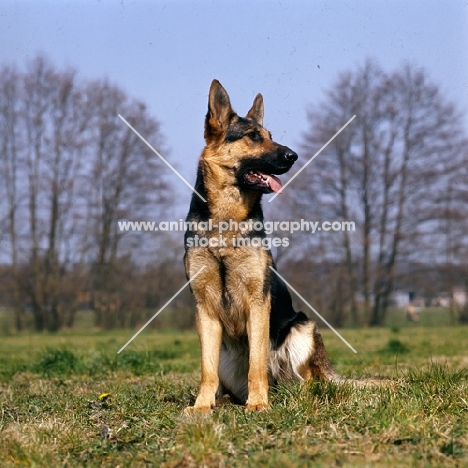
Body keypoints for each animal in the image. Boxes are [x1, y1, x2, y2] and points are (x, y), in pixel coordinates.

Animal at [183, 80, 336, 414]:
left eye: (270, 135)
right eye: (253, 137)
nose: (294, 156)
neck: (226, 223)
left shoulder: (258, 304)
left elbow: (256, 363)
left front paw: (257, 404)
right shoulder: (204, 310)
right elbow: (206, 370)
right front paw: (201, 406)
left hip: (303, 329)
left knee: (308, 382)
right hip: (228, 355)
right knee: (227, 382)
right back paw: (225, 400)